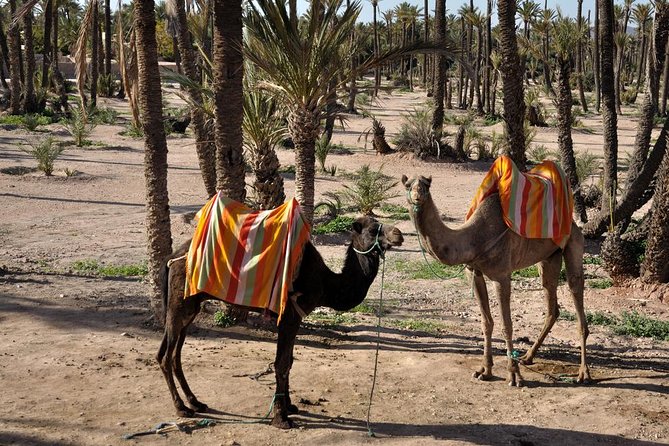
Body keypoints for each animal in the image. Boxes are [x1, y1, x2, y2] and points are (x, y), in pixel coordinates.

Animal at [157, 216, 403, 428]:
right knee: (167, 356)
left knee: (173, 354)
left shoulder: (294, 319)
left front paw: (290, 406)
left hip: (190, 307)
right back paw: (181, 408)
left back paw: (195, 402)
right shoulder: (289, 317)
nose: (398, 234)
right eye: (373, 230)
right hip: (180, 304)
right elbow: (281, 363)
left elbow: (289, 362)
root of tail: (172, 257)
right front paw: (280, 417)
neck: (325, 282)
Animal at [402, 174, 590, 387]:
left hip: (573, 243)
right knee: (551, 302)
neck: (475, 238)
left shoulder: (501, 275)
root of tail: (574, 222)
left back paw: (583, 373)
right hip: (549, 257)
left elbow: (506, 325)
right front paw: (484, 370)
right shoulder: (473, 272)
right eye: (407, 185)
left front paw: (514, 375)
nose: (417, 197)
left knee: (576, 292)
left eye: (426, 185)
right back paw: (528, 356)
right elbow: (486, 322)